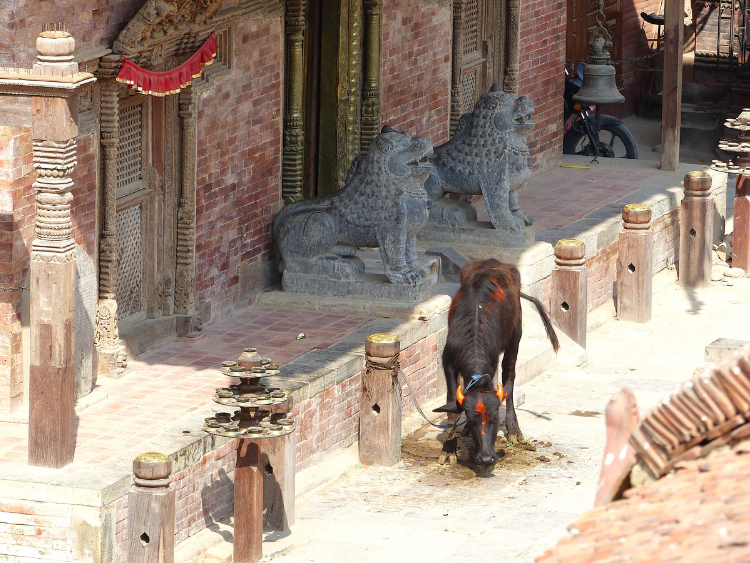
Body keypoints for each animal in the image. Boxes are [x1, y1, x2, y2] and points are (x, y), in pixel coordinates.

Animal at [434, 260, 560, 468]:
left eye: (494, 418)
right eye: (471, 419)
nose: (486, 457)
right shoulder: (448, 358)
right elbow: (452, 407)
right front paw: (448, 449)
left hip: (515, 339)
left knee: (509, 379)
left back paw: (514, 430)